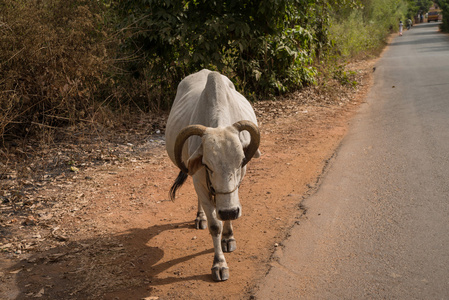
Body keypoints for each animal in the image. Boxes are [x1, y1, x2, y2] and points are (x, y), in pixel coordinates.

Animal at [165, 69, 260, 280]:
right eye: (207, 164)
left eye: (241, 161)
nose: (229, 211)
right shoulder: (199, 179)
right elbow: (215, 225)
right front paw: (219, 264)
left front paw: (228, 237)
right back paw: (200, 217)